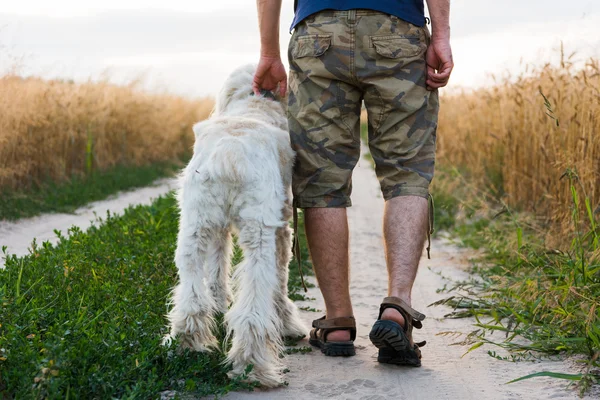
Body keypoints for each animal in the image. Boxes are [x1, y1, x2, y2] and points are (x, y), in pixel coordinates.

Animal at [163, 64, 304, 386]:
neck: (253, 103)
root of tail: (230, 152)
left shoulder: (218, 230)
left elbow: (217, 272)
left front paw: (218, 306)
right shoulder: (282, 228)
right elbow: (281, 280)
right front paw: (289, 323)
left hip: (194, 229)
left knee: (192, 293)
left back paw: (187, 345)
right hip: (260, 237)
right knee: (254, 304)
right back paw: (252, 367)